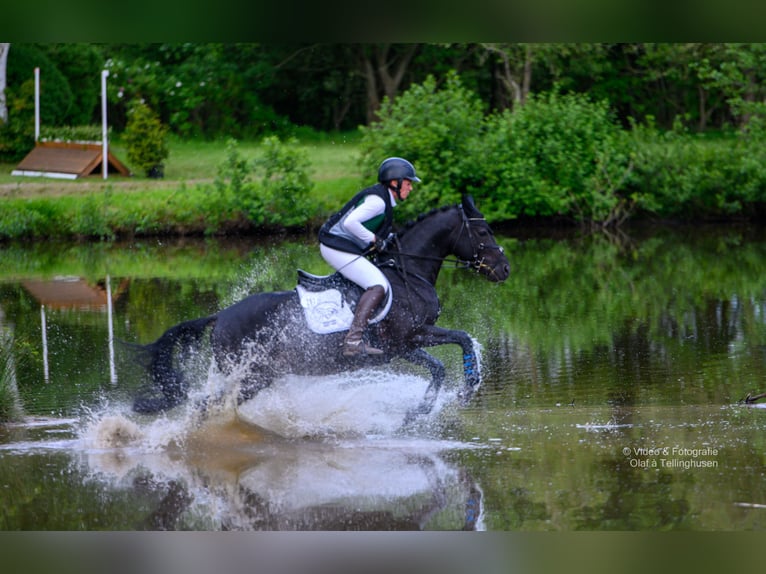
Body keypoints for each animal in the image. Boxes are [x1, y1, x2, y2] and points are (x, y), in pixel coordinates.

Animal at [134, 194, 510, 418]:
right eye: (484, 233)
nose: (505, 269)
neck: (409, 272)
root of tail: (221, 316)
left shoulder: (400, 346)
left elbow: (440, 364)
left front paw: (419, 411)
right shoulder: (412, 335)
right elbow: (461, 339)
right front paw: (467, 390)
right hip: (252, 375)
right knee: (206, 406)